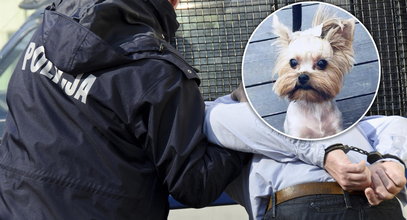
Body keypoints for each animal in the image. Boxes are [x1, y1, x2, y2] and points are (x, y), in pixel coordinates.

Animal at [272, 7, 356, 139]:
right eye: (293, 62)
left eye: (322, 63)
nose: (303, 76)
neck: (313, 105)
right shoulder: (297, 132)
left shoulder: (335, 129)